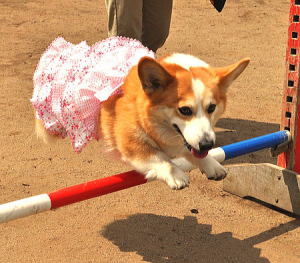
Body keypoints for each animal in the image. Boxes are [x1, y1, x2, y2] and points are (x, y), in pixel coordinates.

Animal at [34, 49, 250, 190]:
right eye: (185, 110)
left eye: (211, 108)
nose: (207, 144)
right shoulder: (133, 147)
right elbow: (160, 158)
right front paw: (176, 175)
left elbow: (193, 152)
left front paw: (211, 164)